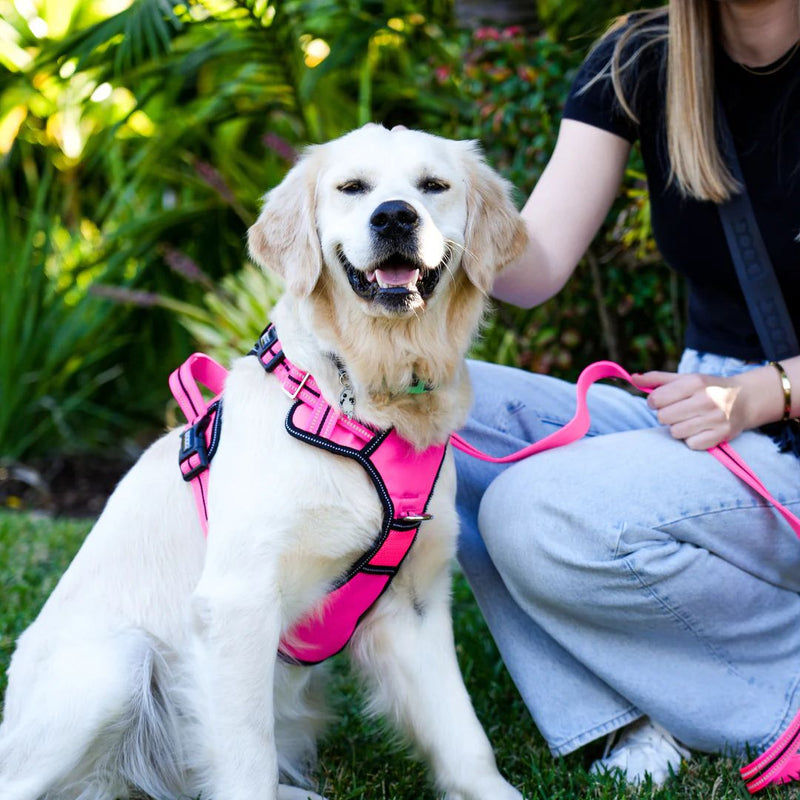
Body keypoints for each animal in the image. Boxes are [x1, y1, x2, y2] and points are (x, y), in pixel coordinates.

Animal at [0, 125, 528, 800]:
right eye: (352, 188)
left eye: (433, 186)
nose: (394, 216)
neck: (358, 409)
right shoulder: (239, 601)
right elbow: (247, 753)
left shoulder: (414, 603)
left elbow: (465, 738)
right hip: (112, 666)